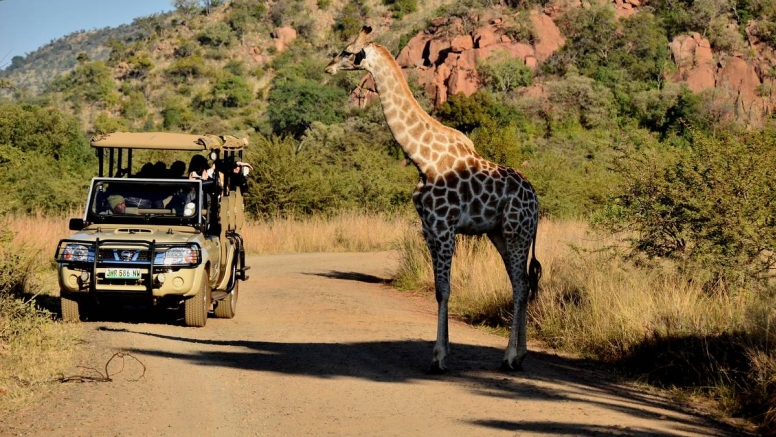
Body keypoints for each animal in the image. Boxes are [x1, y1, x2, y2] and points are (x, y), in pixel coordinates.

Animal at [324, 26, 544, 372]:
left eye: (347, 51)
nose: (328, 67)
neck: (422, 158)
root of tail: (536, 200)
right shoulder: (428, 227)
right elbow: (440, 288)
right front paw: (443, 351)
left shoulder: (443, 226)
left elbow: (443, 290)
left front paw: (439, 356)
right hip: (500, 233)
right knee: (519, 282)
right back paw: (519, 355)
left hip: (516, 231)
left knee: (521, 285)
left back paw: (510, 356)